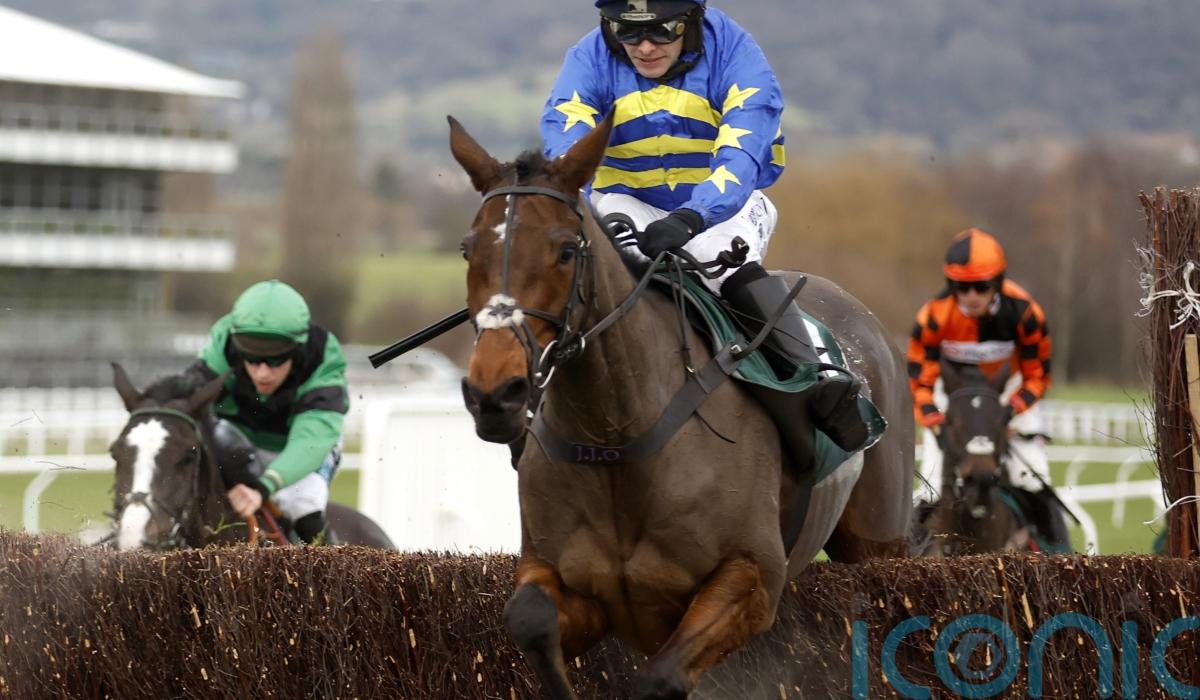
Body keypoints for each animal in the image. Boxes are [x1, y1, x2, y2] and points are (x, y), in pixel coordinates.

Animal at [448, 114, 913, 699]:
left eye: (566, 250)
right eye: (468, 250)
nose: (494, 394)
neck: (616, 438)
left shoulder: (751, 579)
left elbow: (659, 679)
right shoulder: (566, 580)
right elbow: (530, 620)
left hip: (880, 540)